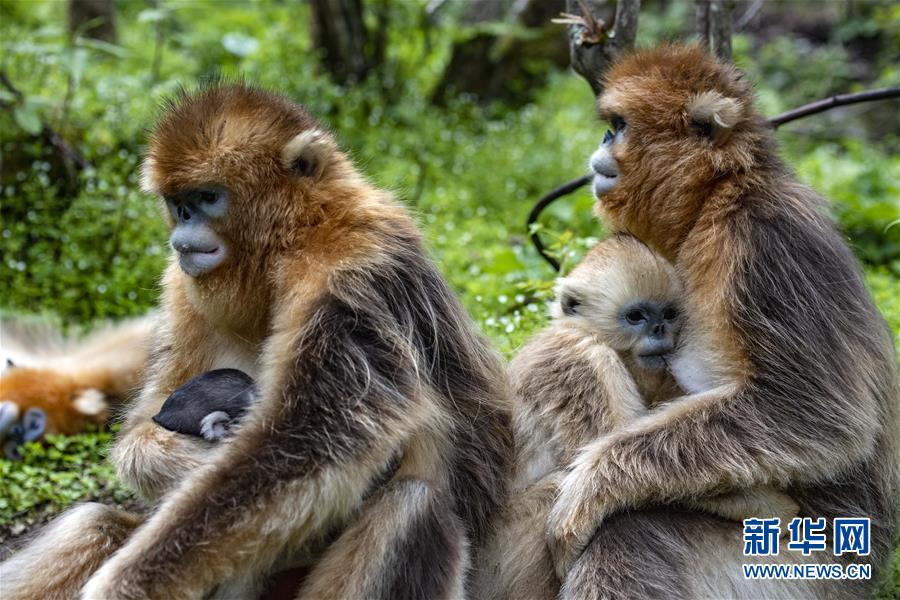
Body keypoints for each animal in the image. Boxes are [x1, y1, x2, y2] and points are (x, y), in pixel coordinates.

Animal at [0, 83, 512, 600]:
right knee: (94, 522)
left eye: (207, 197)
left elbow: (309, 441)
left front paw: (125, 586)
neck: (293, 240)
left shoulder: (351, 268)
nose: (183, 230)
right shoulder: (182, 286)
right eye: (178, 203)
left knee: (412, 505)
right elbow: (143, 427)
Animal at [544, 47, 896, 600]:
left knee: (629, 531)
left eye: (620, 127)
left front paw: (587, 486)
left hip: (798, 570)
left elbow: (817, 417)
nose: (602, 141)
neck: (719, 194)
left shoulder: (760, 240)